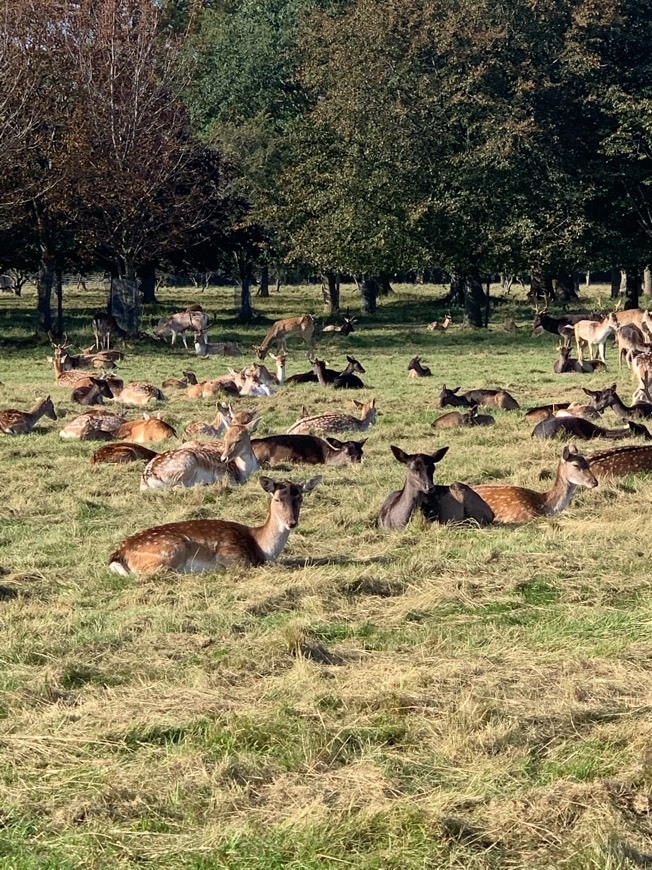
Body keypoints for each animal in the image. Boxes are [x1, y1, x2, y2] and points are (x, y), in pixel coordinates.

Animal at [107, 474, 320, 576]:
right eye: (277, 499)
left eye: (300, 498)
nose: (292, 523)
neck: (262, 549)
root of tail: (118, 554)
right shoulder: (232, 556)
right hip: (171, 549)